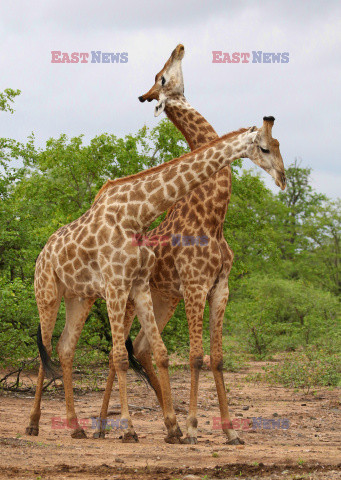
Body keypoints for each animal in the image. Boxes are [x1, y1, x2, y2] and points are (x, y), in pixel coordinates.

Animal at [93, 43, 286, 444]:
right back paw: (110, 426)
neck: (212, 215)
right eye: (162, 77)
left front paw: (230, 433)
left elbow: (218, 357)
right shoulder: (196, 285)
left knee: (142, 349)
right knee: (118, 352)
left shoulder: (220, 287)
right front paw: (198, 426)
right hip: (133, 297)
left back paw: (169, 426)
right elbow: (197, 356)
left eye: (277, 143)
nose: (178, 47)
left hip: (164, 298)